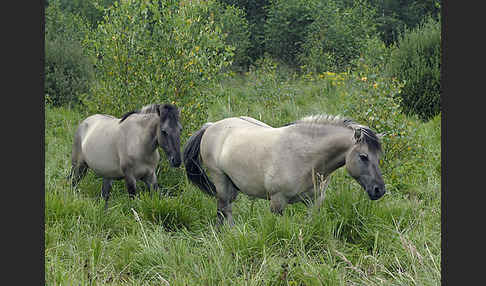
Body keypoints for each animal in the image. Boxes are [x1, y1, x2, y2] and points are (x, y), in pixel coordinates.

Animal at [184, 114, 386, 226]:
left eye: (378, 157)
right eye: (363, 156)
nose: (379, 190)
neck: (306, 157)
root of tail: (211, 126)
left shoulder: (314, 202)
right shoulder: (277, 202)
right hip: (221, 182)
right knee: (223, 209)